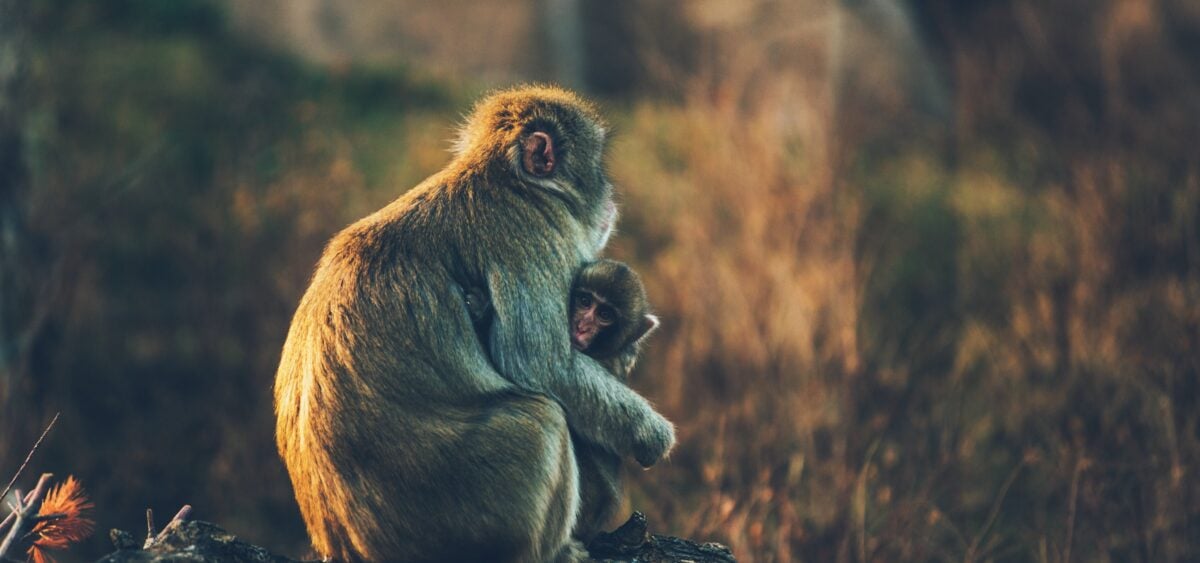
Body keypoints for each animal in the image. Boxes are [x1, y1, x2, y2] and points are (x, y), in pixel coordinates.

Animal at [272, 84, 676, 561]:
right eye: (597, 164)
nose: (612, 195)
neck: (507, 180)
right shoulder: (531, 234)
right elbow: (541, 365)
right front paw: (654, 436)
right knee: (542, 417)